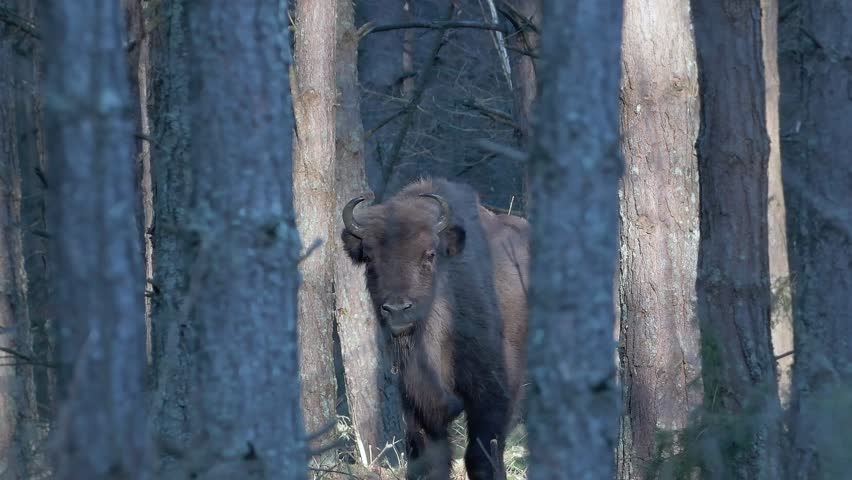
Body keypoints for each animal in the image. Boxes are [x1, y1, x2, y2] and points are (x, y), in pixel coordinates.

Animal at [341, 178, 529, 480]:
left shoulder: (493, 395)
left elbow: (482, 455)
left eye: (428, 255)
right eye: (369, 258)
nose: (397, 309)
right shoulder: (416, 404)